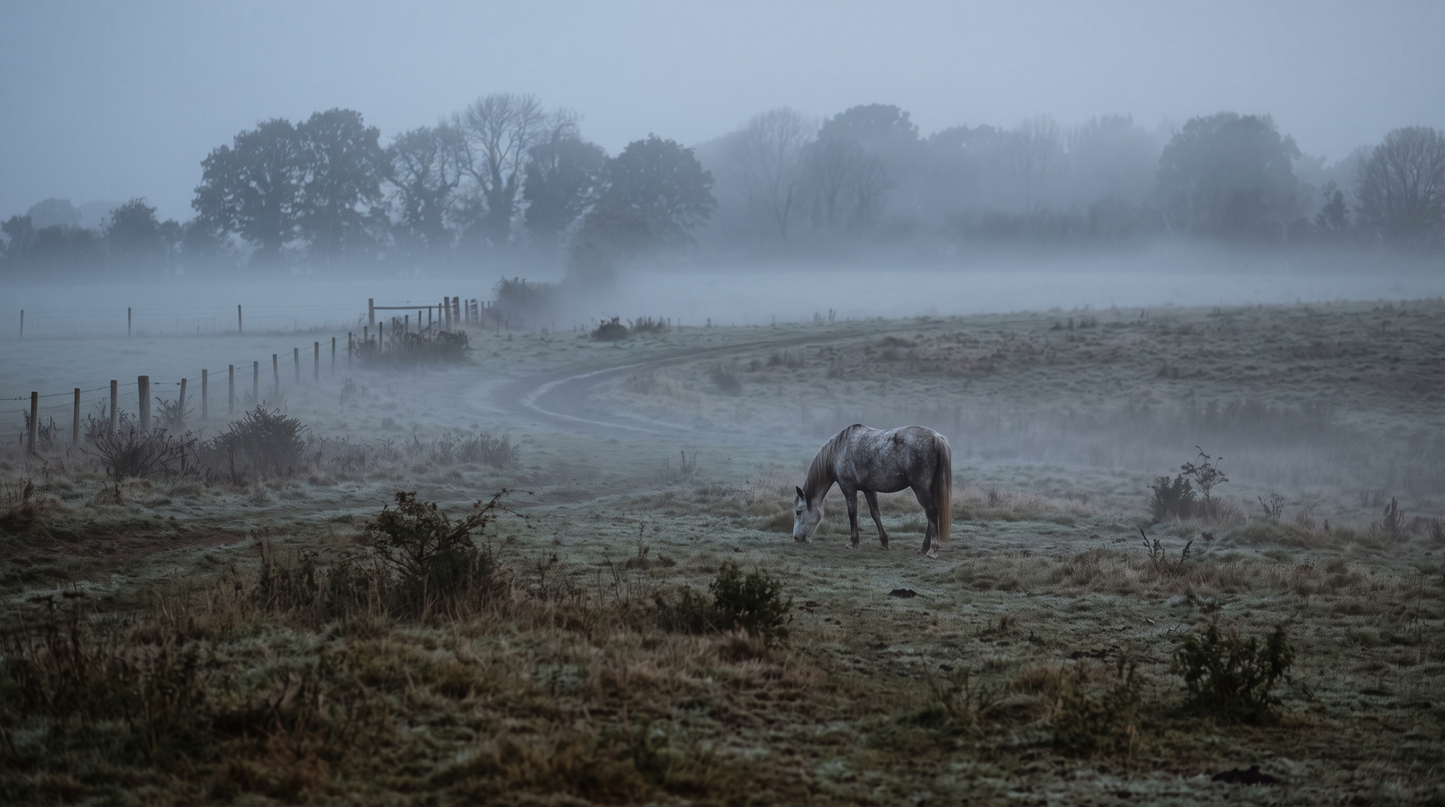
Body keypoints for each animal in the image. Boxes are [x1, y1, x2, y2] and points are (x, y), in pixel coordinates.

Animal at [793, 424, 952, 558]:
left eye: (798, 512)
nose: (796, 538)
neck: (839, 450)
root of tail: (936, 438)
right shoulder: (869, 489)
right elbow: (875, 514)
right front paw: (884, 543)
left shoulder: (848, 487)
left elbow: (852, 512)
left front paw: (853, 542)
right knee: (931, 515)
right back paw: (924, 548)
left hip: (920, 488)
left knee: (931, 511)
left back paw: (932, 549)